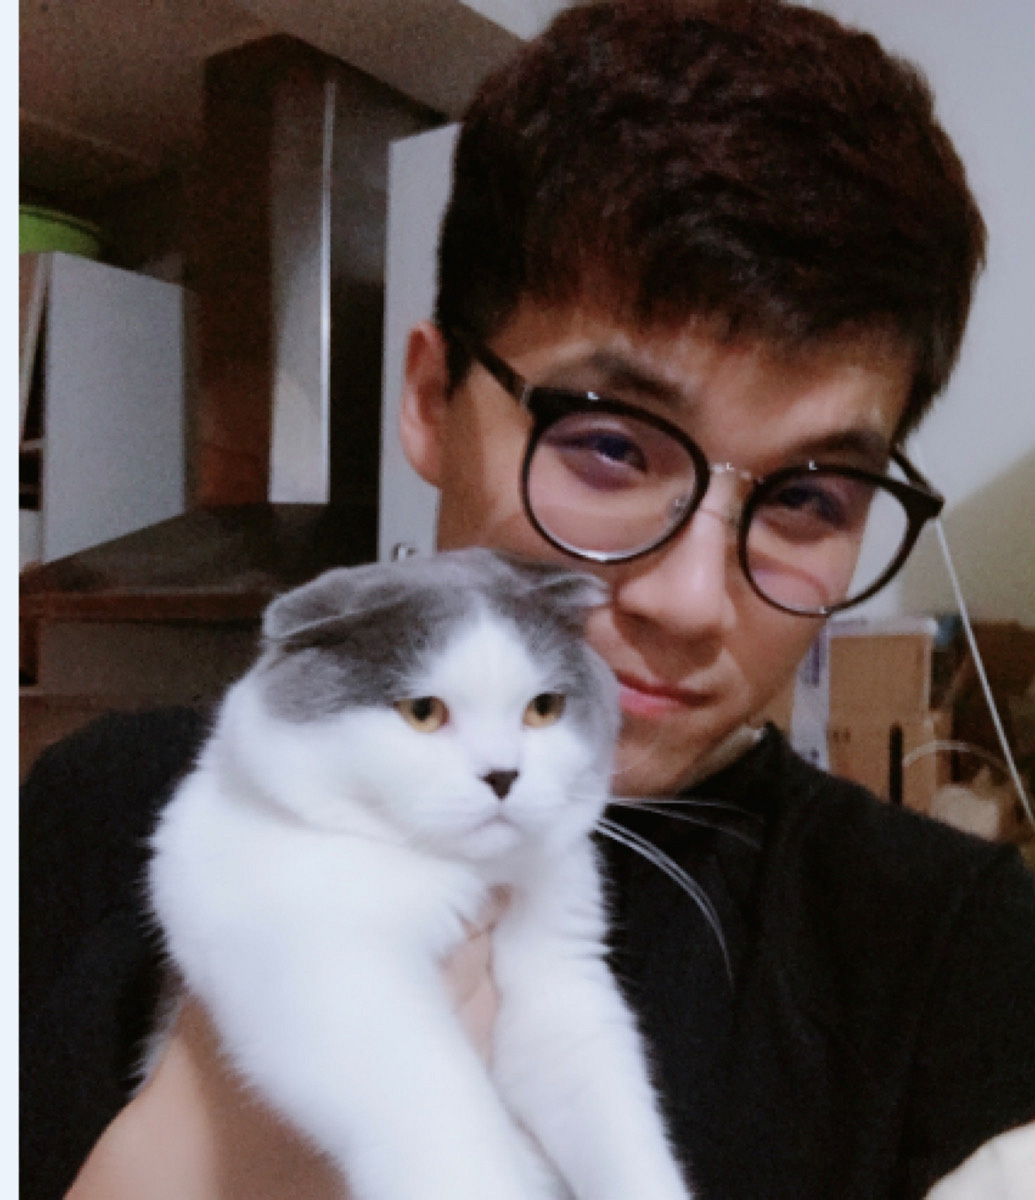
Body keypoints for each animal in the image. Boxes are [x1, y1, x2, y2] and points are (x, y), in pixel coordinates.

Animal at [147, 547, 694, 1200]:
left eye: (544, 709)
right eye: (423, 712)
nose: (503, 774)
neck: (449, 872)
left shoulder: (562, 977)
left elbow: (608, 1111)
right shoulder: (332, 972)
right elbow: (442, 1114)